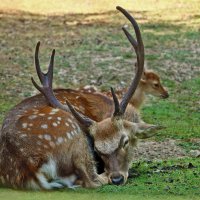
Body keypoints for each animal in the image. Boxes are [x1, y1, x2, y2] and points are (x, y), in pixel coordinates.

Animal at [0, 6, 159, 190]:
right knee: (90, 180)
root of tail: (29, 169)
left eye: (125, 141)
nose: (117, 178)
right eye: (97, 150)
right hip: (72, 132)